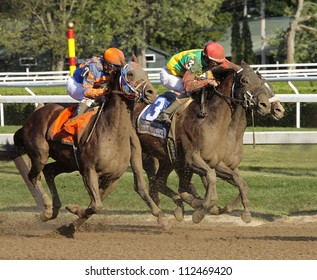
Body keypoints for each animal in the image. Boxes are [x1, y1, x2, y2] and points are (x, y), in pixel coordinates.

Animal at [0, 56, 163, 232]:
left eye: (145, 72)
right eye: (130, 74)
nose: (152, 93)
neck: (112, 131)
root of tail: (29, 120)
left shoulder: (112, 177)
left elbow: (96, 204)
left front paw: (70, 224)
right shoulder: (88, 169)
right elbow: (96, 205)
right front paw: (73, 211)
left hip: (68, 162)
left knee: (49, 171)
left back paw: (55, 209)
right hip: (40, 155)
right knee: (33, 176)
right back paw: (47, 210)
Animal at [133, 61, 284, 223]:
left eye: (266, 86)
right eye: (245, 81)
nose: (271, 107)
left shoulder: (219, 162)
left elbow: (240, 182)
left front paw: (241, 212)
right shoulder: (192, 159)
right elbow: (211, 179)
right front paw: (201, 211)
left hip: (167, 159)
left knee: (159, 183)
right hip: (146, 156)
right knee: (148, 184)